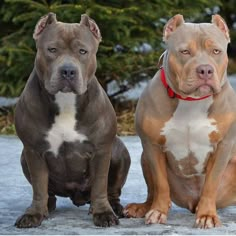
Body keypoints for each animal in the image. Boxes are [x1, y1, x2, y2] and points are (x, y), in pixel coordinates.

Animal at [14, 12, 130, 229]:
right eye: (52, 49)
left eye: (82, 51)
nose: (68, 70)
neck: (65, 101)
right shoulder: (34, 151)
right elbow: (39, 187)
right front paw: (34, 214)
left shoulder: (101, 151)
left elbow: (100, 185)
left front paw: (103, 213)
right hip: (24, 157)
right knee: (48, 193)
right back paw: (47, 206)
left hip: (120, 151)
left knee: (111, 190)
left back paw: (113, 207)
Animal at [123, 14, 236, 229]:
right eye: (185, 51)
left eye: (216, 51)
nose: (205, 70)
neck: (191, 101)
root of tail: (191, 203)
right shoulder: (152, 145)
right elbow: (160, 183)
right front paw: (158, 212)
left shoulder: (223, 145)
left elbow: (211, 183)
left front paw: (207, 215)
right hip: (143, 158)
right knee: (153, 190)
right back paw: (143, 207)